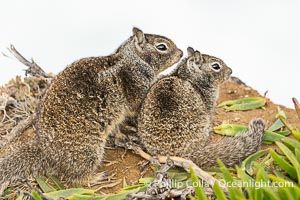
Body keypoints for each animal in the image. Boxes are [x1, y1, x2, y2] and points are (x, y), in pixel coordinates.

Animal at [0, 27, 183, 186]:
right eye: (162, 46)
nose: (181, 53)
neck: (132, 59)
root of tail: (44, 150)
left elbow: (118, 126)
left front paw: (124, 133)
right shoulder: (136, 88)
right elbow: (137, 105)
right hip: (89, 152)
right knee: (74, 177)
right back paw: (97, 177)